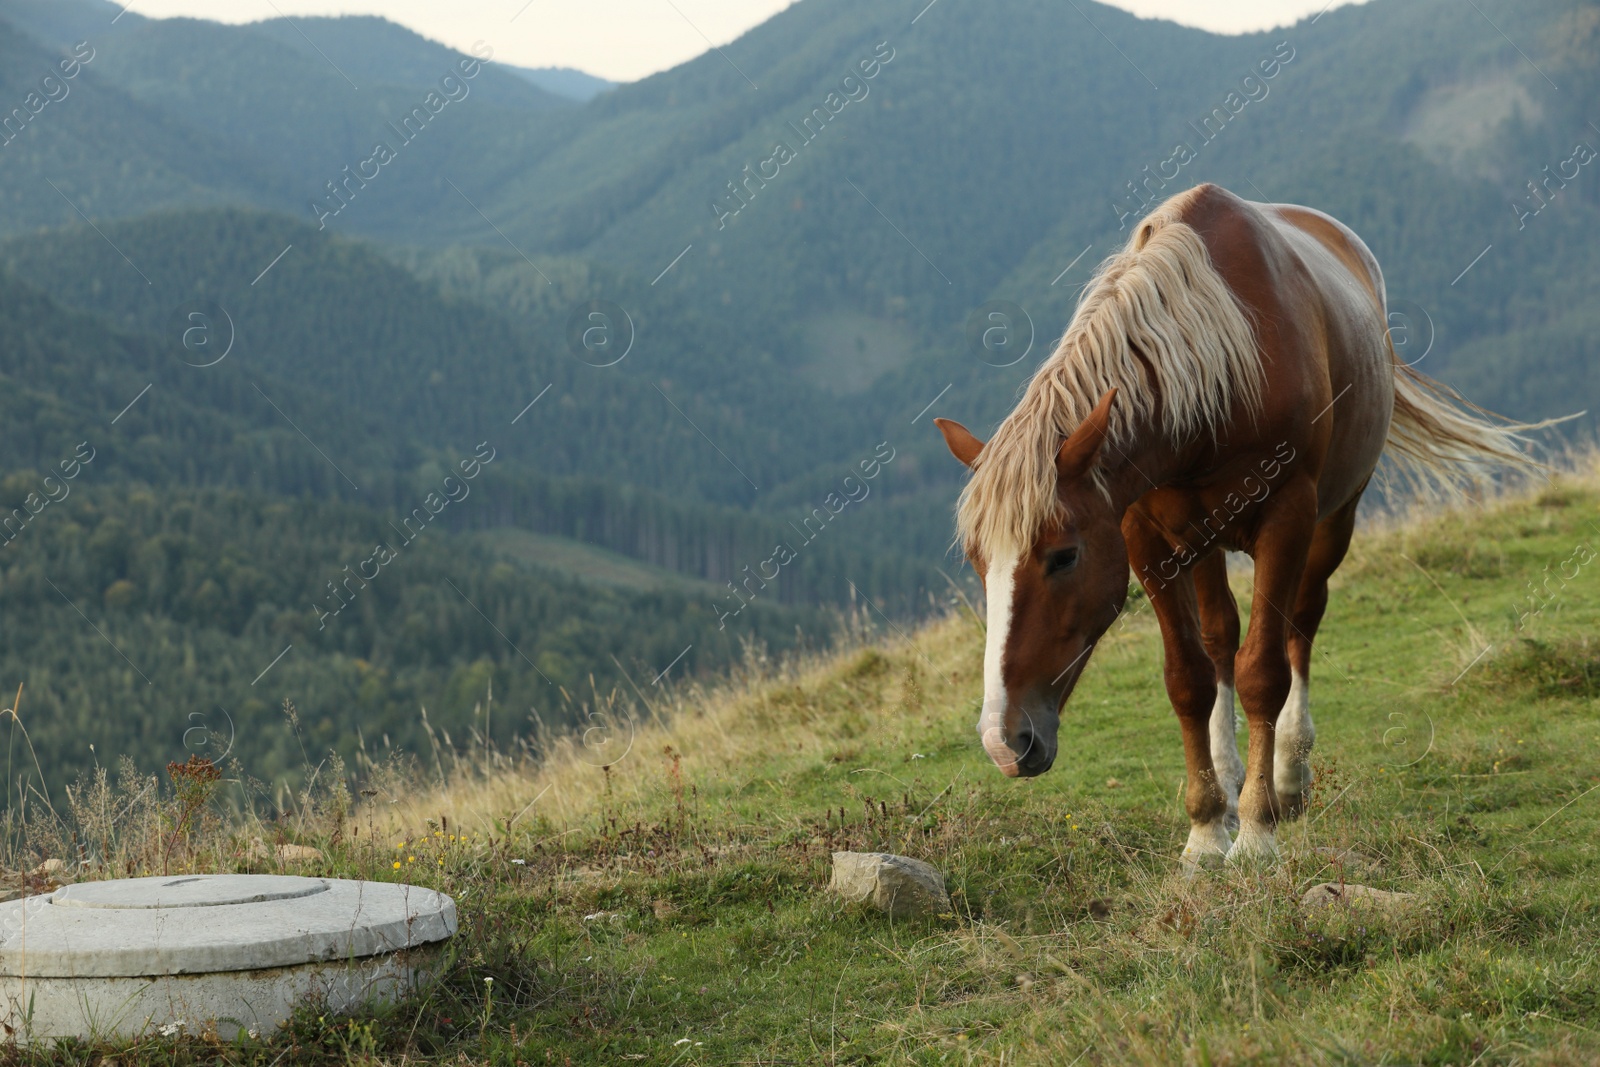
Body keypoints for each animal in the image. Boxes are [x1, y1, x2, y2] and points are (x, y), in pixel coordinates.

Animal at [934, 183, 1542, 863]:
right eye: (977, 562)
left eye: (1063, 556)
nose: (1003, 741)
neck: (1222, 367)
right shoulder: (1144, 536)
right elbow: (1189, 678)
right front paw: (1205, 830)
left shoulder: (1288, 518)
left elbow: (1263, 672)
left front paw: (1255, 830)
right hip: (1200, 541)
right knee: (1222, 637)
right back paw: (1228, 781)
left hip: (1335, 518)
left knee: (1301, 621)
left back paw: (1288, 776)